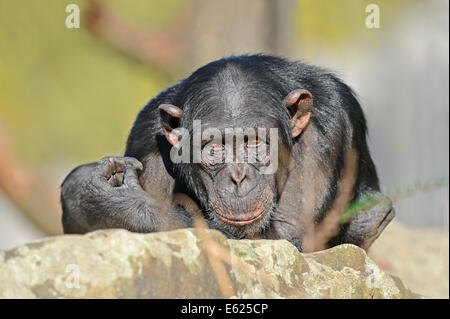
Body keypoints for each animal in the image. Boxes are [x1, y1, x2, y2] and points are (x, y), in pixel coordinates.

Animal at [60, 53, 394, 251]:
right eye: (215, 147)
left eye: (255, 143)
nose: (238, 177)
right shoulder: (147, 139)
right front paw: (88, 192)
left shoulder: (330, 131)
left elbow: (292, 236)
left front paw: (108, 202)